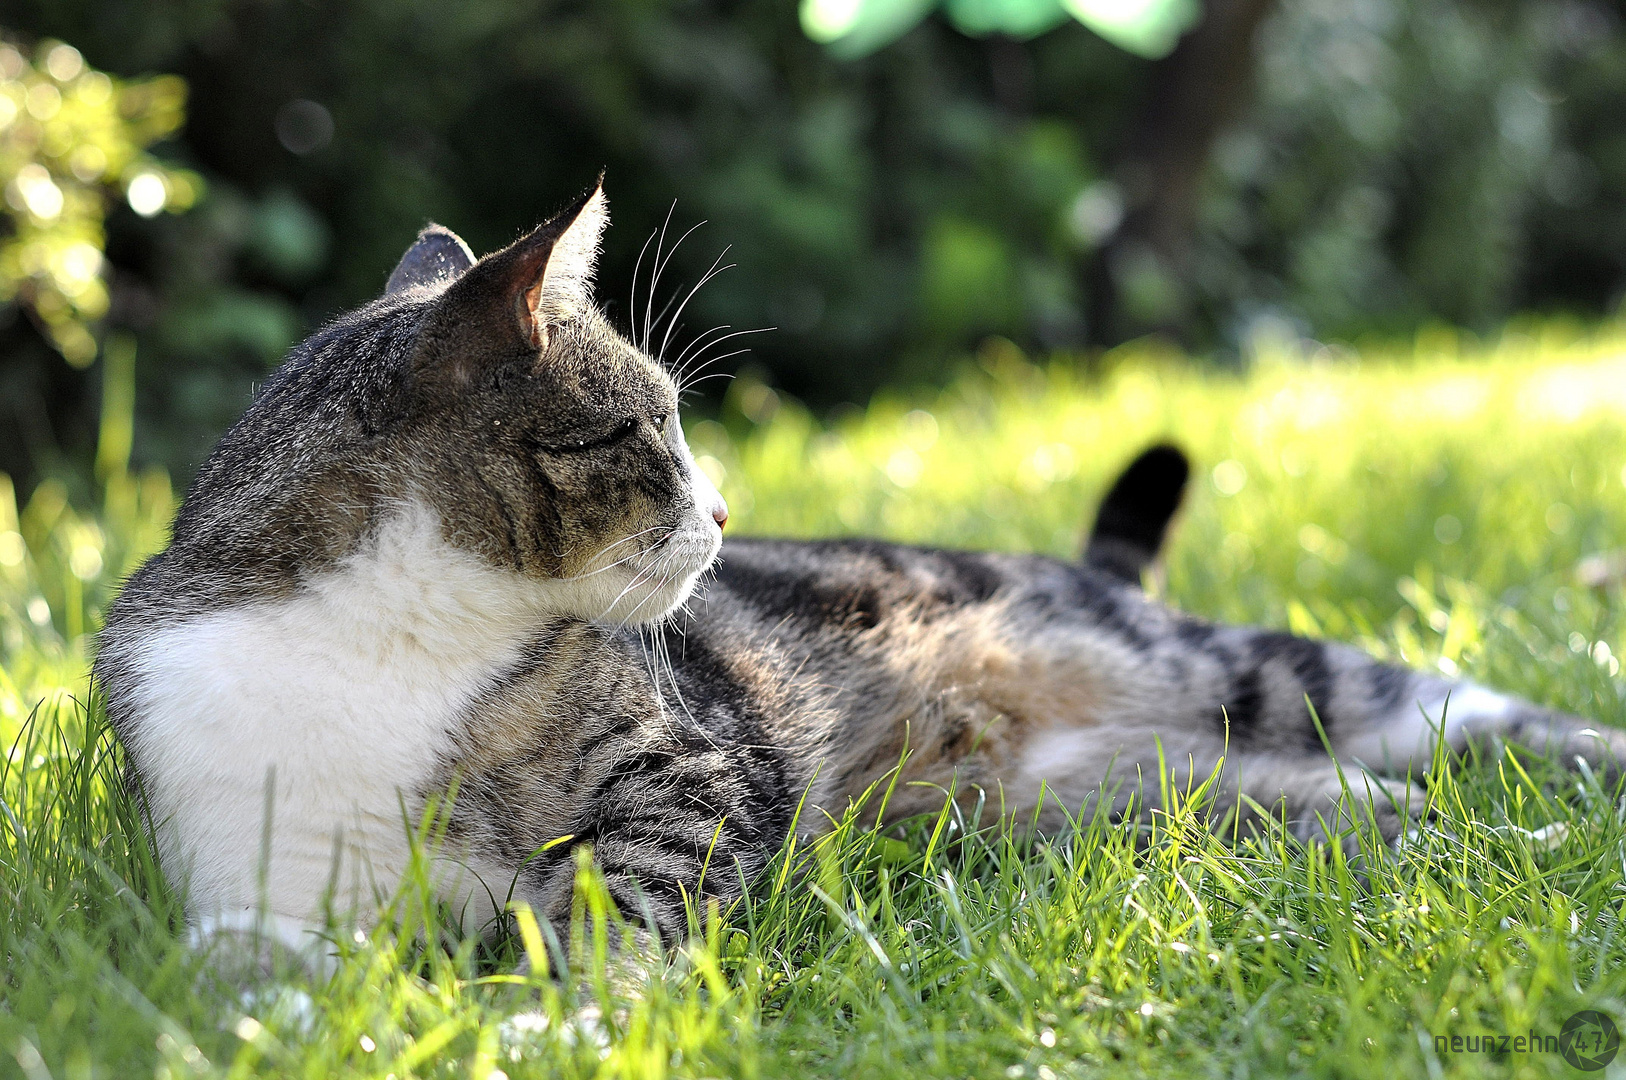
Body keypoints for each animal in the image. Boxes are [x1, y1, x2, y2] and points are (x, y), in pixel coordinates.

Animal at [98, 181, 1626, 962]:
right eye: (651, 431)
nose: (726, 511)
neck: (389, 636)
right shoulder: (245, 865)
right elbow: (252, 967)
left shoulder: (690, 764)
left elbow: (626, 895)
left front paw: (578, 1012)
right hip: (1124, 813)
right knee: (1351, 805)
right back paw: (1456, 841)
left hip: (1256, 673)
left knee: (1464, 721)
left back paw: (1558, 812)